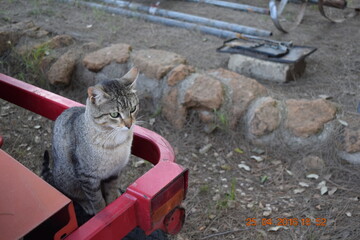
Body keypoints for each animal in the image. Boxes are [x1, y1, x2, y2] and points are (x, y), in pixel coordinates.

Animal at [41, 66, 139, 215]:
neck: (115, 142)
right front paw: (101, 211)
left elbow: (110, 192)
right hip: (67, 179)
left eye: (133, 109)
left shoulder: (114, 173)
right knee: (75, 195)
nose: (129, 124)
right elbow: (97, 200)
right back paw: (86, 204)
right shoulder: (87, 177)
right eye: (114, 114)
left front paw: (113, 204)